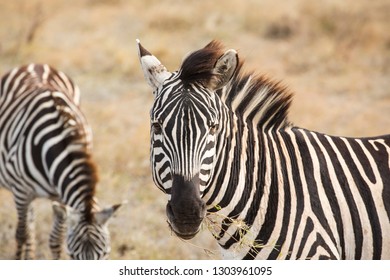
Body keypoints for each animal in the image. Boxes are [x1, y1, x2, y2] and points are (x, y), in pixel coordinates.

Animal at [0, 64, 122, 260]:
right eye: (74, 256)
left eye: (104, 254)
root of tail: (36, 64)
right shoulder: (20, 191)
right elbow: (21, 234)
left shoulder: (61, 196)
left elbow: (56, 240)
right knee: (27, 228)